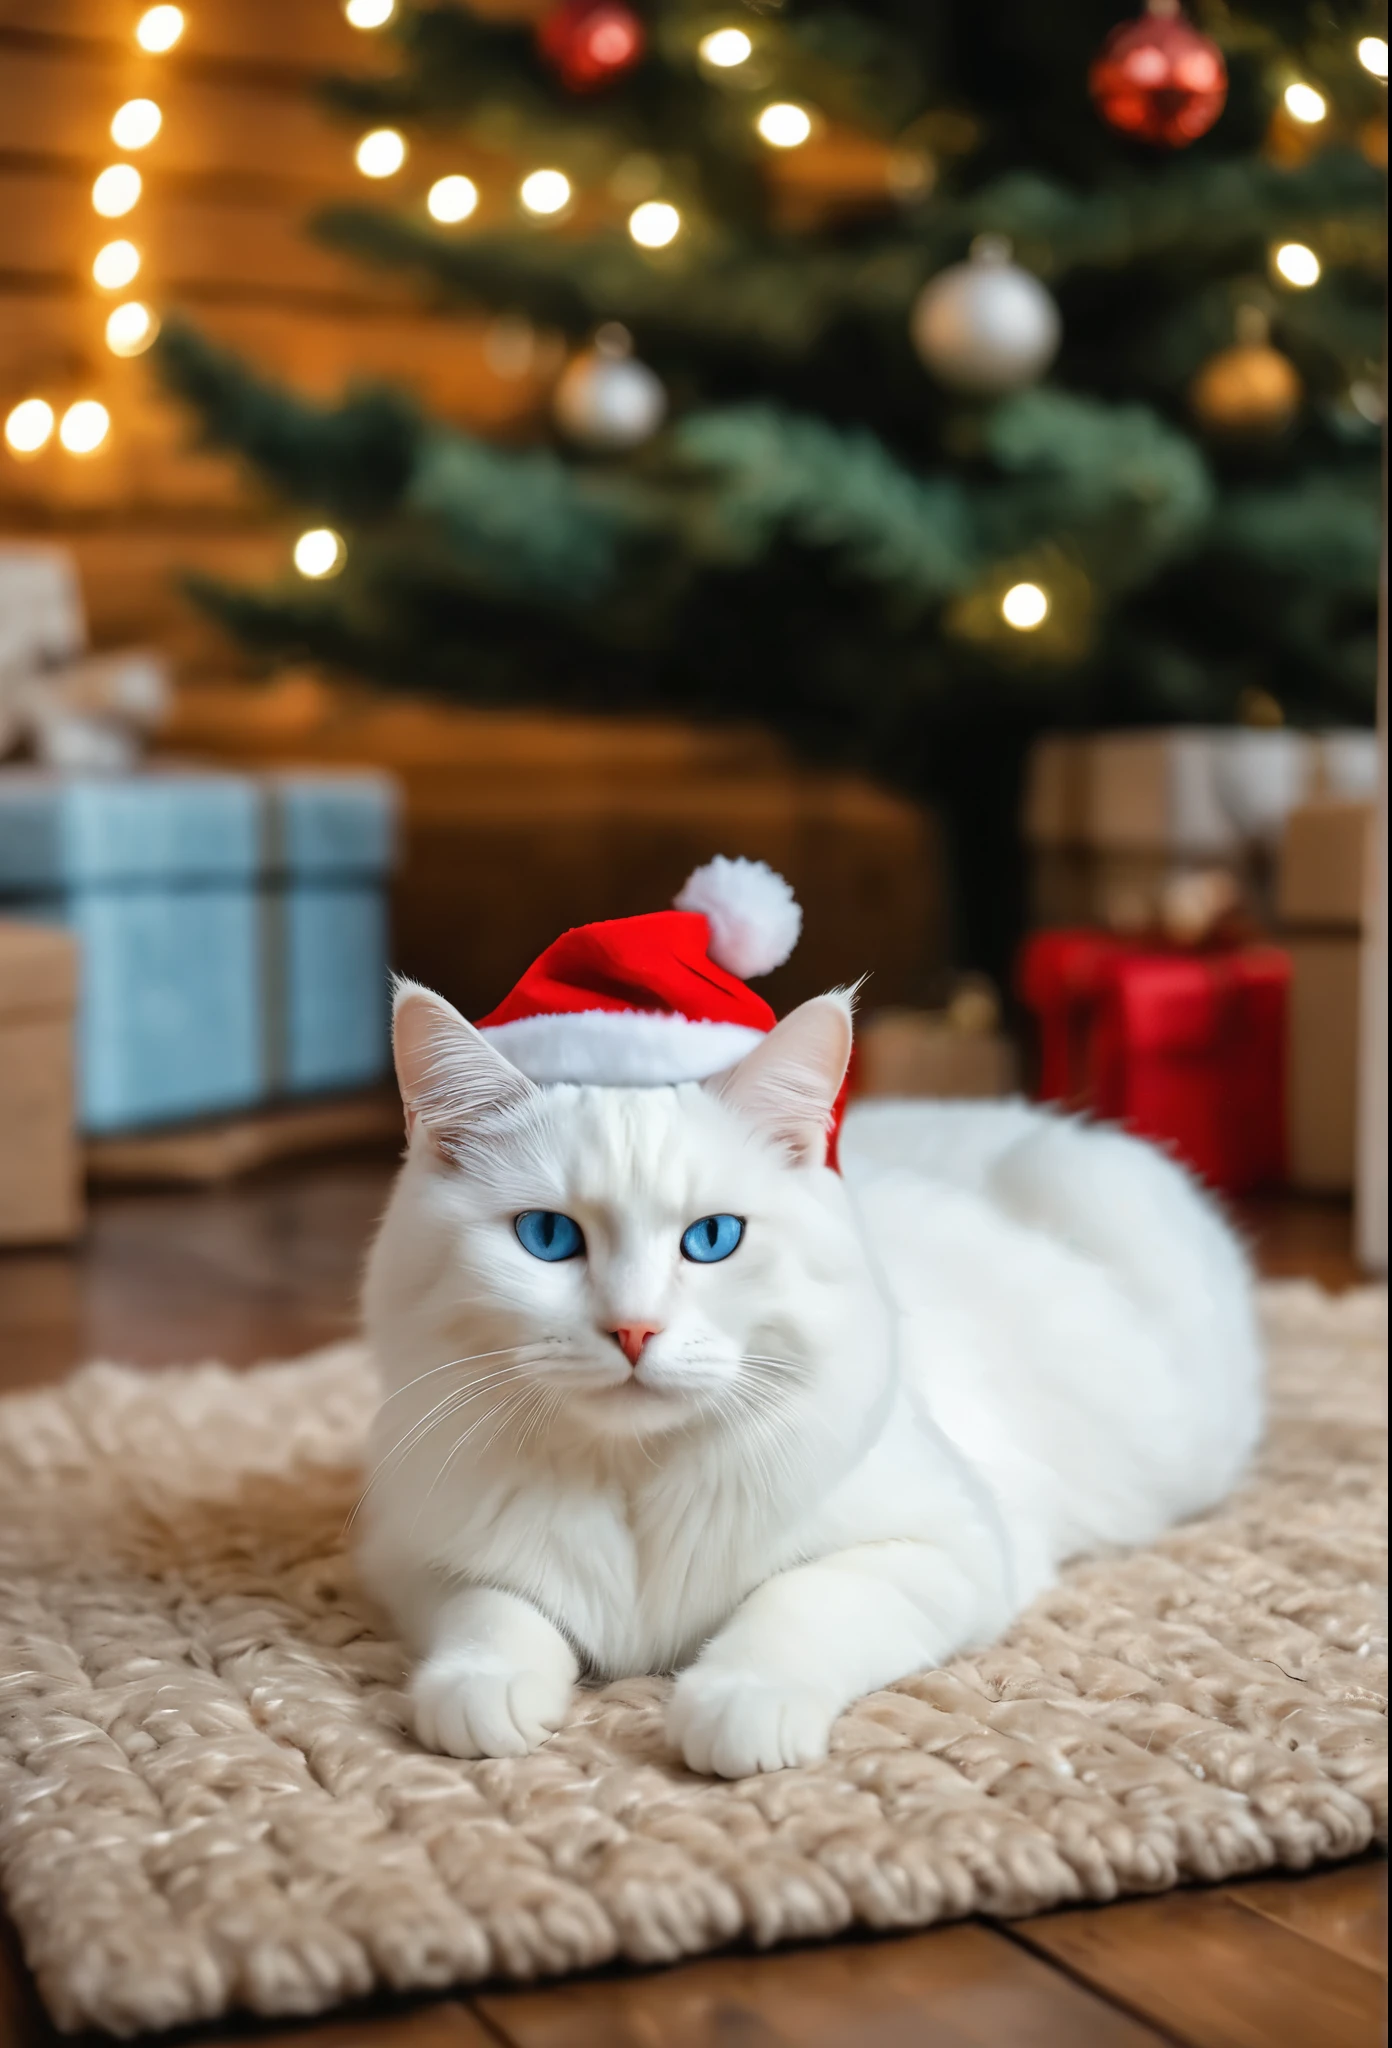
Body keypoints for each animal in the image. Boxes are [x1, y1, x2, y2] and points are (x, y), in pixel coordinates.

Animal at [362, 978, 1260, 1777]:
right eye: (547, 1237)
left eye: (713, 1239)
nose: (633, 1330)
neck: (632, 1475)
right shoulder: (417, 1560)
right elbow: (494, 1614)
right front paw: (484, 1693)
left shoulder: (944, 1550)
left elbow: (794, 1605)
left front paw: (737, 1706)